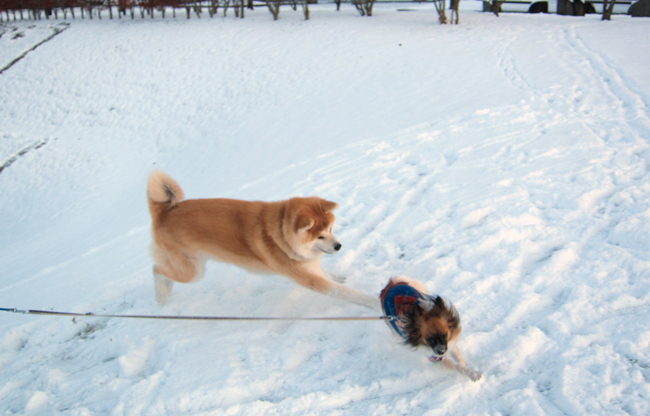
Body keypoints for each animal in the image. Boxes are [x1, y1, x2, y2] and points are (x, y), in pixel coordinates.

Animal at [144, 169, 372, 308]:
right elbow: (345, 293)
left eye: (331, 228)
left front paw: (338, 276)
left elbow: (327, 274)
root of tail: (164, 213)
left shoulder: (309, 264)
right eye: (320, 235)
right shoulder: (310, 280)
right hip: (194, 272)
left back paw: (167, 292)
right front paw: (371, 302)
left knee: (164, 272)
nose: (339, 246)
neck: (281, 232)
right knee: (156, 270)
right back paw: (160, 297)